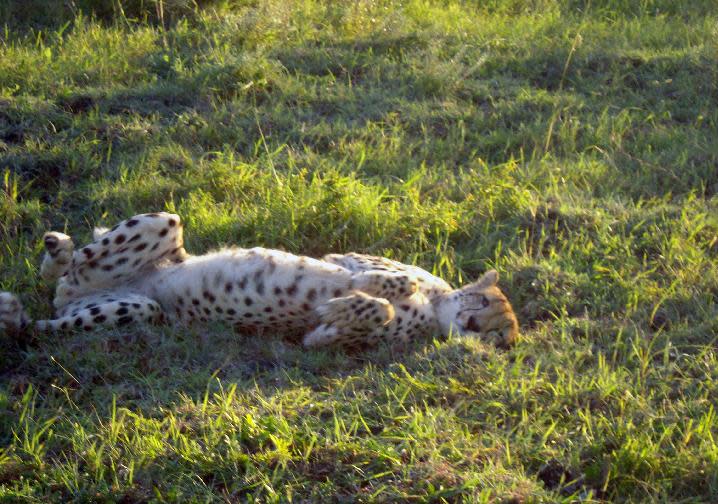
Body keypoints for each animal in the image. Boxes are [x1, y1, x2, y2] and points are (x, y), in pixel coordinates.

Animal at [0, 212, 520, 346]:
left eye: (501, 338)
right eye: (486, 305)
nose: (477, 329)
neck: (437, 310)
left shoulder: (317, 340)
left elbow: (344, 324)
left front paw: (347, 308)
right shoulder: (349, 260)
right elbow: (385, 286)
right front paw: (382, 291)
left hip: (135, 310)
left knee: (40, 322)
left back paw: (14, 310)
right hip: (165, 222)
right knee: (72, 265)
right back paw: (57, 249)